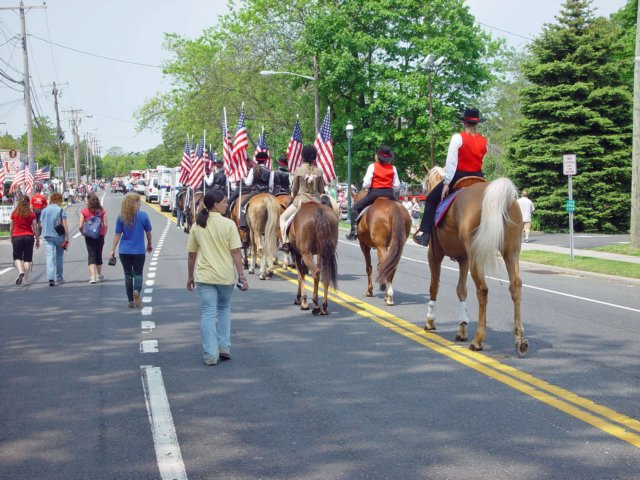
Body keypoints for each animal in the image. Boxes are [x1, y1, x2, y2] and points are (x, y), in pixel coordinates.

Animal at [422, 167, 528, 354]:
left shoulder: (434, 255)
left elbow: (434, 287)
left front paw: (430, 321)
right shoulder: (463, 259)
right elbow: (461, 290)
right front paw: (462, 329)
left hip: (477, 256)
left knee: (483, 290)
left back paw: (478, 340)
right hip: (511, 253)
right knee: (515, 286)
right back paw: (519, 338)